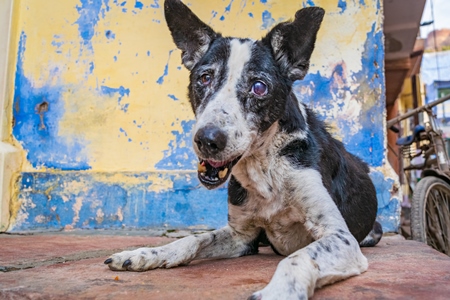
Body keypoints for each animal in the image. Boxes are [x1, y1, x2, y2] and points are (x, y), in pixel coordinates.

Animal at [103, 1, 382, 298]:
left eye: (259, 87)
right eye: (204, 78)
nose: (207, 139)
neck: (264, 166)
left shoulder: (340, 237)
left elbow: (298, 257)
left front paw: (278, 291)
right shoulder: (242, 236)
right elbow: (192, 239)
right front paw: (147, 254)